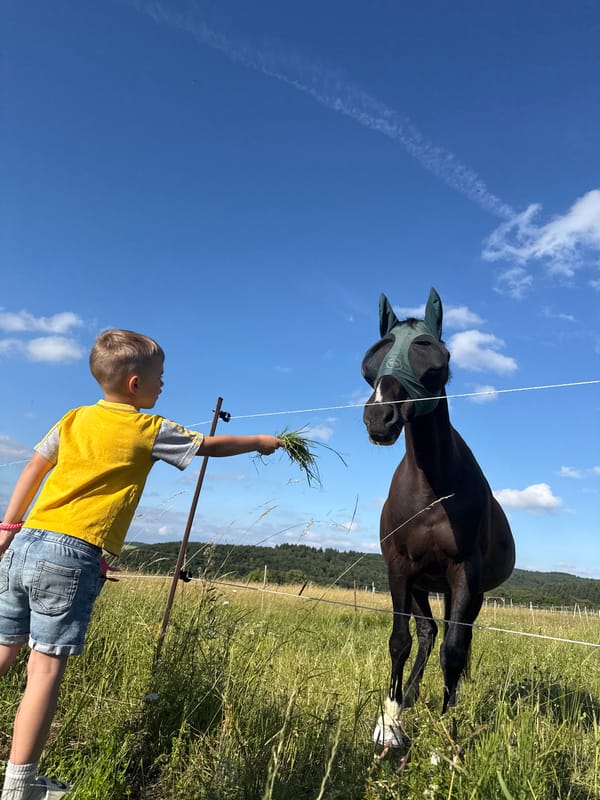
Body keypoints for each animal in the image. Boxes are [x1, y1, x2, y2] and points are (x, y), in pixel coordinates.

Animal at [361, 287, 515, 748]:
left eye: (432, 354)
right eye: (373, 356)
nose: (380, 416)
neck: (432, 491)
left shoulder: (463, 573)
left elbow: (454, 650)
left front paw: (449, 731)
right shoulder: (399, 569)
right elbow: (400, 641)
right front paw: (390, 719)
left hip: (466, 591)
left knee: (454, 638)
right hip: (421, 584)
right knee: (428, 633)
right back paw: (409, 699)